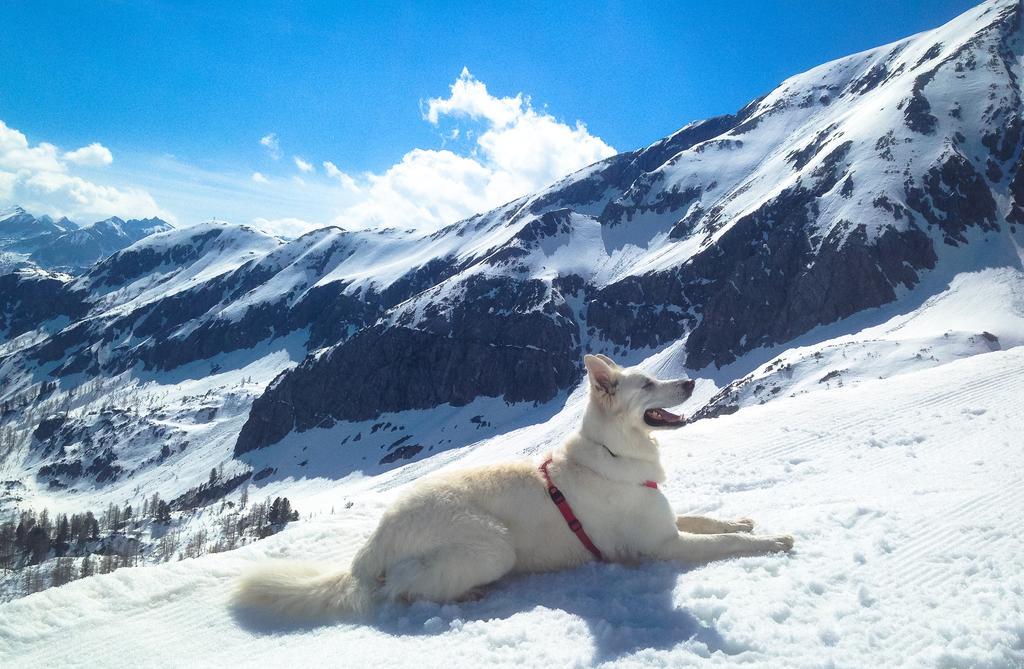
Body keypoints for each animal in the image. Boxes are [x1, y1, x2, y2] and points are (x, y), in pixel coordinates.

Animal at [235, 352, 794, 618]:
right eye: (648, 385)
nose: (692, 382)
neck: (613, 453)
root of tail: (371, 545)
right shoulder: (664, 546)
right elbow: (723, 543)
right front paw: (772, 539)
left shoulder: (666, 521)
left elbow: (709, 518)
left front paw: (743, 518)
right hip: (492, 548)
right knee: (402, 591)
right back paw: (468, 596)